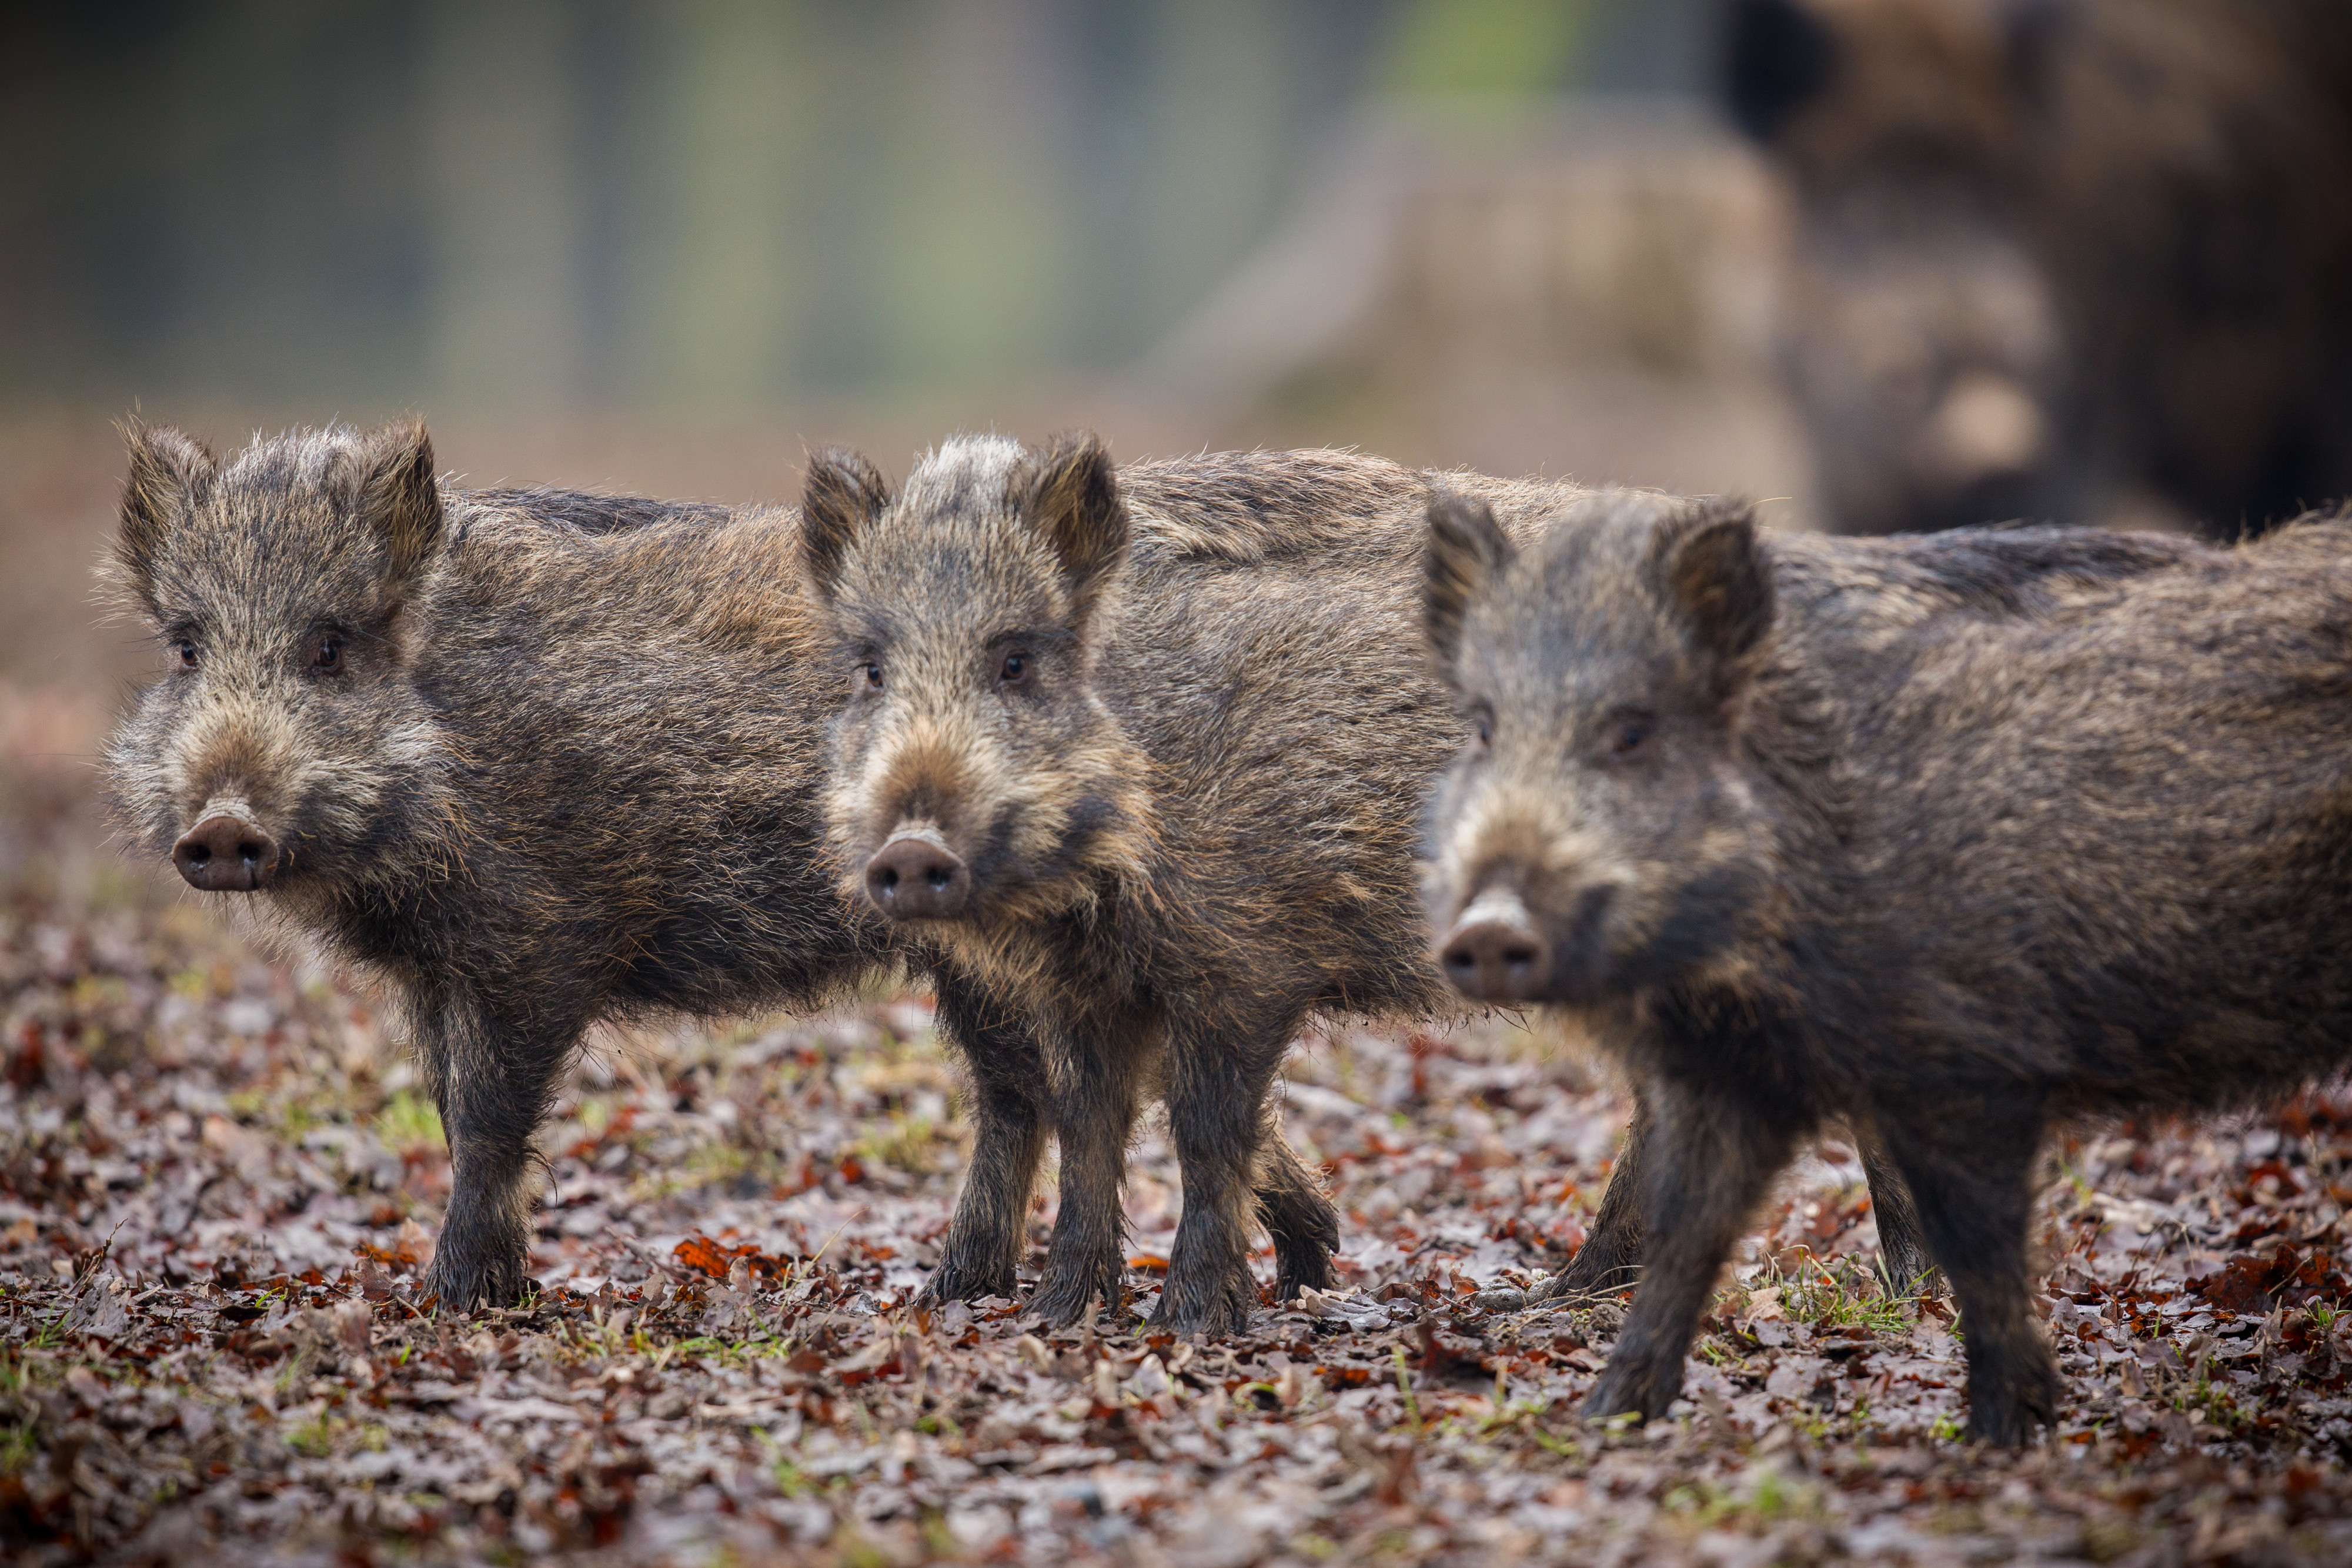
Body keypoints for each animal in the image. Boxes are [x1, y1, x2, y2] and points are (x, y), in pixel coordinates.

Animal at [1422, 483, 2349, 1442]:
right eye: (1484, 728)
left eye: (1634, 732)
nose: (1485, 929)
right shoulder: (1730, 1073)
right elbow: (1685, 1233)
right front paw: (1601, 1416)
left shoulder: (1965, 1058)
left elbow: (1978, 1249)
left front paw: (1995, 1438)